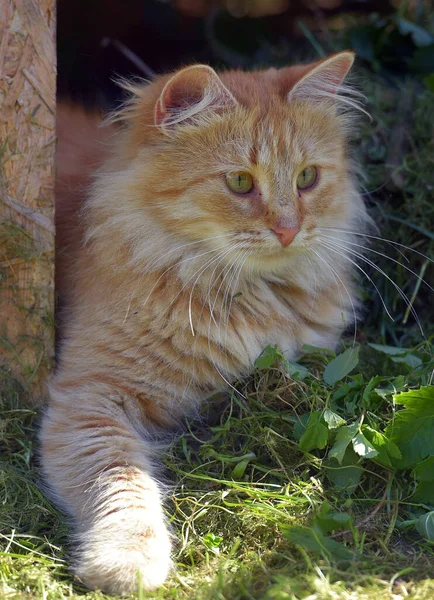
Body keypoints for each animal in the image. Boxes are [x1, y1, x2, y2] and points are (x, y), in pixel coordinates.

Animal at [40, 52, 368, 596]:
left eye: (306, 178)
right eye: (239, 183)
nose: (288, 230)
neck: (247, 296)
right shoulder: (89, 398)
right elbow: (121, 479)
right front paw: (127, 562)